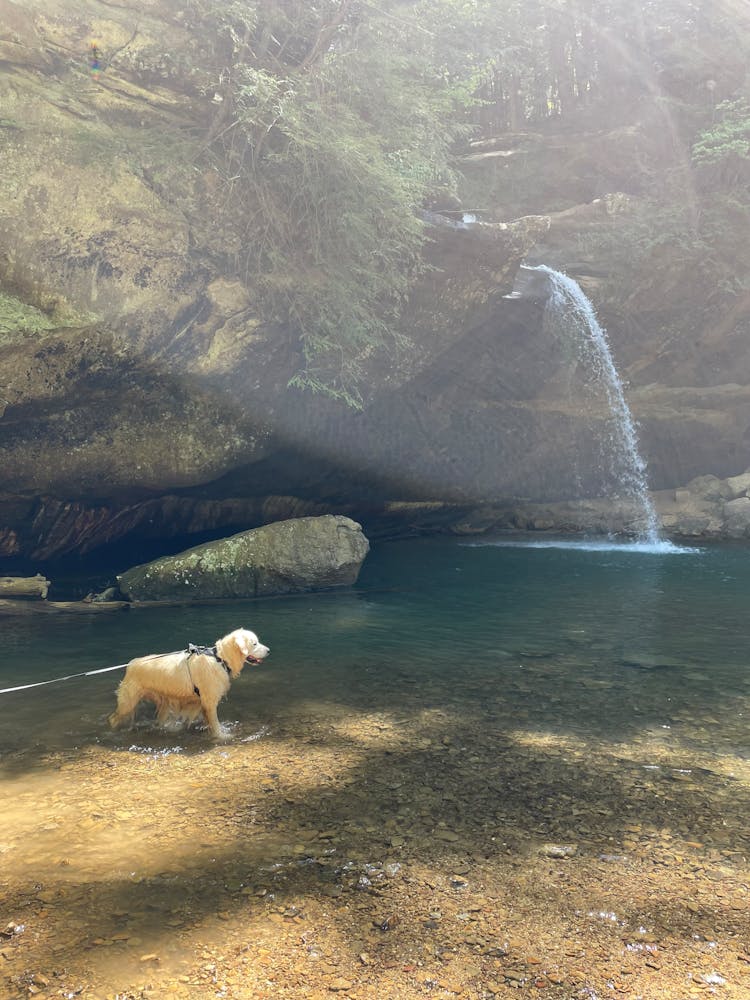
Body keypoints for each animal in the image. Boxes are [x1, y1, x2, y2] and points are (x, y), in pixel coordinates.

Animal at [107, 628, 268, 740]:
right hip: (128, 701)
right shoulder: (210, 702)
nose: (268, 650)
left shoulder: (202, 703)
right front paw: (222, 737)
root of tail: (131, 664)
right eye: (254, 643)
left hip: (162, 701)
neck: (220, 658)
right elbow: (215, 724)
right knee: (113, 719)